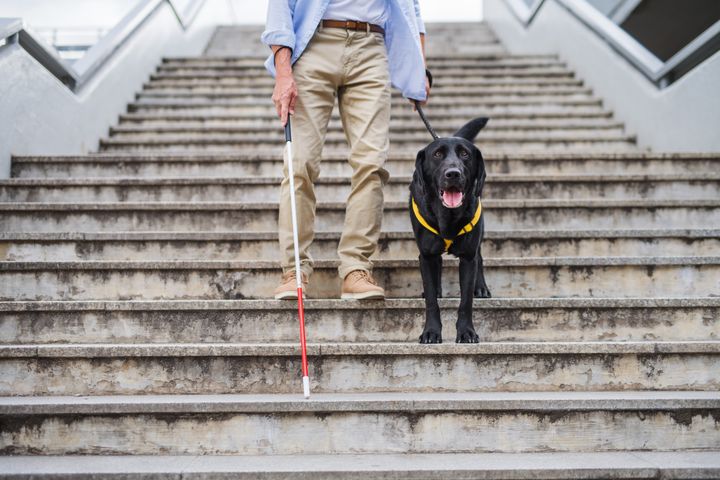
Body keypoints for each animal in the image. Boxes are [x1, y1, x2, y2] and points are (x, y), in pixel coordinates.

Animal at [408, 117, 492, 344]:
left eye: (465, 154)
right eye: (437, 155)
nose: (453, 173)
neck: (448, 216)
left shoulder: (468, 258)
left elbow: (465, 301)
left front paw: (467, 332)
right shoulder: (425, 256)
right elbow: (431, 301)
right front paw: (430, 332)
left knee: (480, 256)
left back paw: (481, 288)